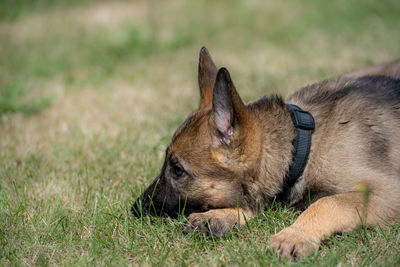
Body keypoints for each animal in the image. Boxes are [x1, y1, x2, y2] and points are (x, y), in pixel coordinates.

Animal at [132, 47, 400, 260]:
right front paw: (219, 216)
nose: (136, 209)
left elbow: (328, 202)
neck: (303, 146)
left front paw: (294, 234)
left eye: (177, 169)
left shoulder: (387, 193)